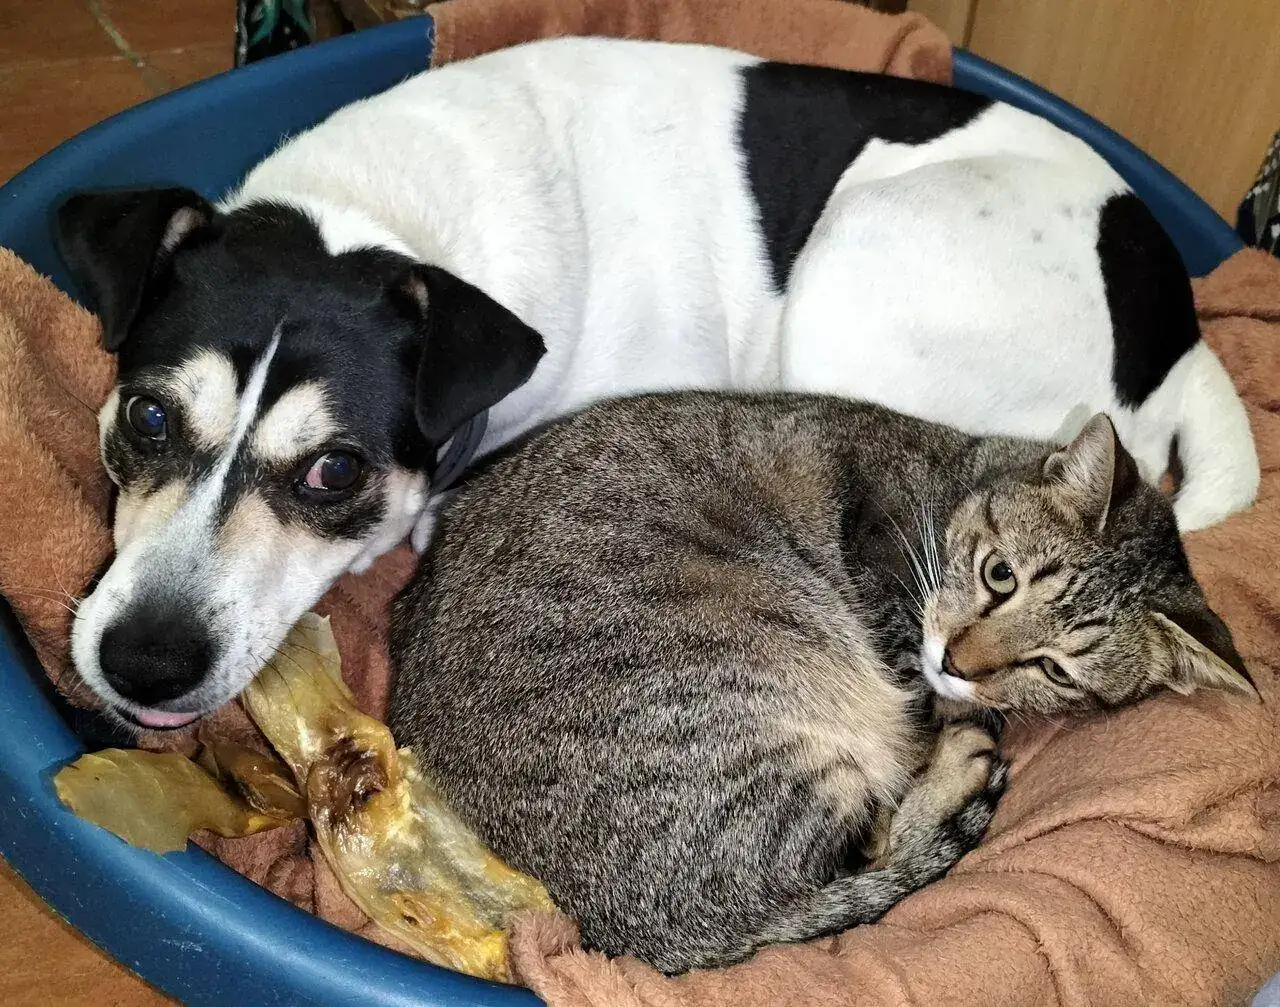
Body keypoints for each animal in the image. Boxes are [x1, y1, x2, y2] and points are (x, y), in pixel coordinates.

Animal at [54, 37, 1258, 730]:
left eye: (335, 470)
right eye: (146, 414)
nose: (142, 663)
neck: (387, 217)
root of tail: (1181, 336)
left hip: (854, 277)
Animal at [387, 392, 1254, 974]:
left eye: (1054, 667)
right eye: (1000, 575)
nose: (960, 663)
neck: (954, 477)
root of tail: (637, 933)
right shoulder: (888, 586)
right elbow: (915, 706)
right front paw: (952, 724)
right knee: (870, 843)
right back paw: (961, 761)